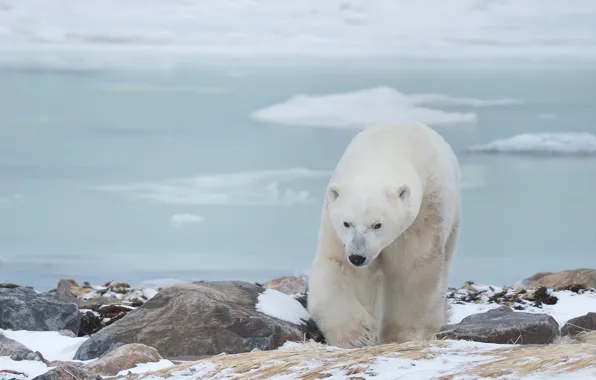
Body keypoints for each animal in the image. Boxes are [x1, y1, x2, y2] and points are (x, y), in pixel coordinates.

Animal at [304, 123, 464, 348]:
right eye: (347, 223)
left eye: (377, 225)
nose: (358, 256)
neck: (384, 149)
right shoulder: (334, 228)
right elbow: (338, 267)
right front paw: (358, 336)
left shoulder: (423, 216)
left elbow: (411, 270)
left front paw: (398, 336)